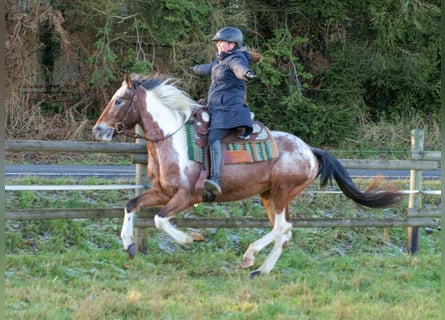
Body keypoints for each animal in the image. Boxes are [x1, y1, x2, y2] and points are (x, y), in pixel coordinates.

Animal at [92, 72, 400, 278]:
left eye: (119, 101)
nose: (98, 130)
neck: (173, 140)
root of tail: (310, 150)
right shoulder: (162, 192)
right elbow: (131, 205)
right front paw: (129, 245)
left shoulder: (187, 196)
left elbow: (159, 219)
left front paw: (192, 238)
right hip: (269, 195)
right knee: (284, 231)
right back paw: (260, 270)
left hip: (281, 192)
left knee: (282, 228)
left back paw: (249, 257)